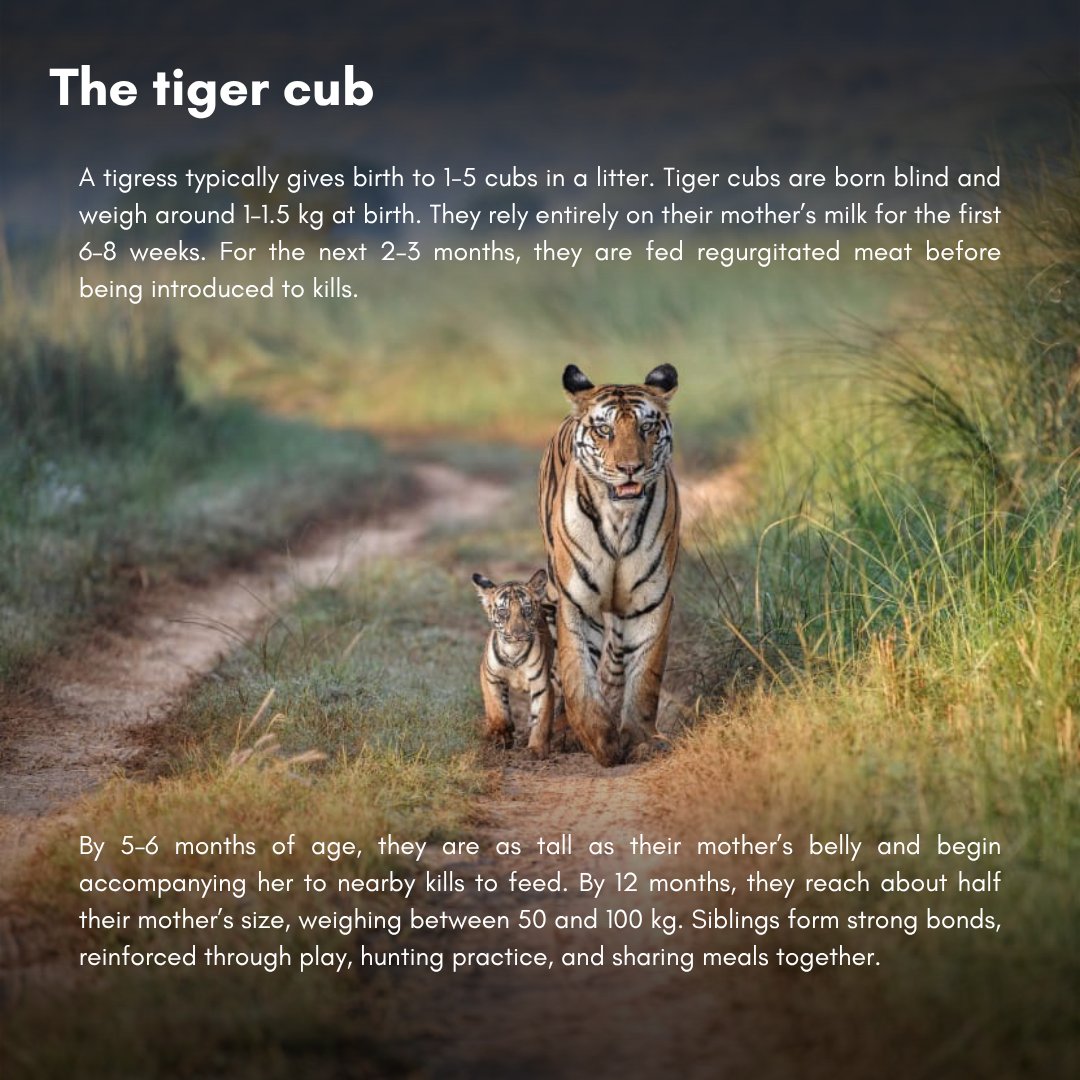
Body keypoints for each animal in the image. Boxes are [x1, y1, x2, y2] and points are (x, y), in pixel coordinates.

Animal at [472, 568, 557, 758]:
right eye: (503, 611)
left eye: (526, 609)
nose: (518, 634)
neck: (513, 653)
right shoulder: (490, 676)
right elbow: (496, 707)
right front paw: (502, 735)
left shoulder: (542, 684)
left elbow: (541, 717)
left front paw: (536, 749)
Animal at [538, 363, 680, 766]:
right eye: (605, 430)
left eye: (647, 427)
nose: (630, 468)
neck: (619, 519)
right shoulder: (576, 603)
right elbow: (576, 676)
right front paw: (597, 739)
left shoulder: (651, 602)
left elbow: (646, 676)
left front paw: (639, 741)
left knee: (616, 660)